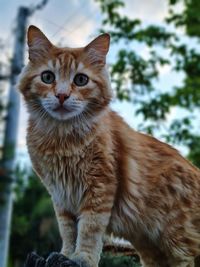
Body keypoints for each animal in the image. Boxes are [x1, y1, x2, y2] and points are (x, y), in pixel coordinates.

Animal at [18, 25, 200, 267]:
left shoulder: (99, 189)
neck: (61, 138)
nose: (62, 95)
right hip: (153, 249)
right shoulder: (60, 196)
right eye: (47, 77)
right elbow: (68, 231)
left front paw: (81, 258)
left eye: (81, 80)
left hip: (177, 241)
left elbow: (88, 230)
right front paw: (65, 254)